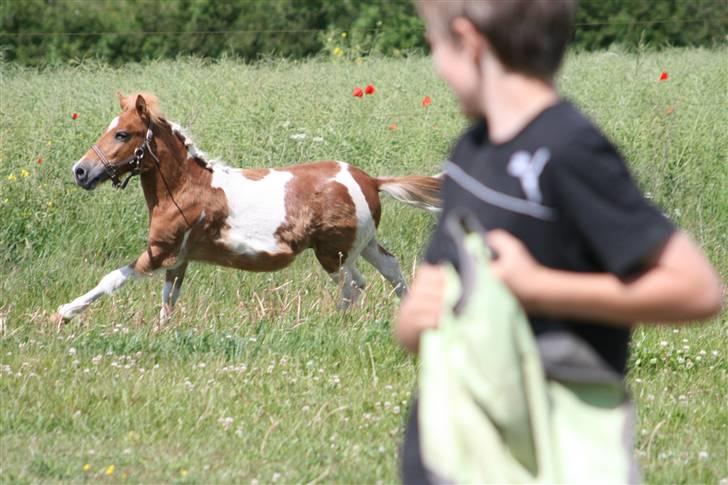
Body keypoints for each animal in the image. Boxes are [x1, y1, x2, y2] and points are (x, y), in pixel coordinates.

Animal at [55, 93, 438, 322]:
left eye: (122, 134)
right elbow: (168, 302)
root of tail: (370, 180)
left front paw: (65, 312)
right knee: (390, 268)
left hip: (334, 253)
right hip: (365, 244)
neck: (186, 188)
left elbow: (112, 278)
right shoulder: (179, 260)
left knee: (354, 285)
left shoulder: (159, 252)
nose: (80, 171)